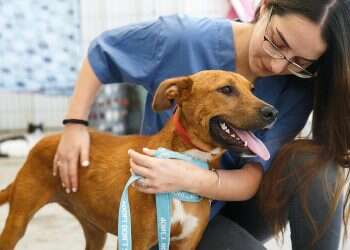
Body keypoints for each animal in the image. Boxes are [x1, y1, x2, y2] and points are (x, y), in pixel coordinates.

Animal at [0, 70, 278, 250]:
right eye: (226, 89)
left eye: (252, 90)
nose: (273, 112)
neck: (182, 161)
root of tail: (42, 142)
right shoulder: (139, 241)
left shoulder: (186, 243)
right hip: (17, 222)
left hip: (95, 231)